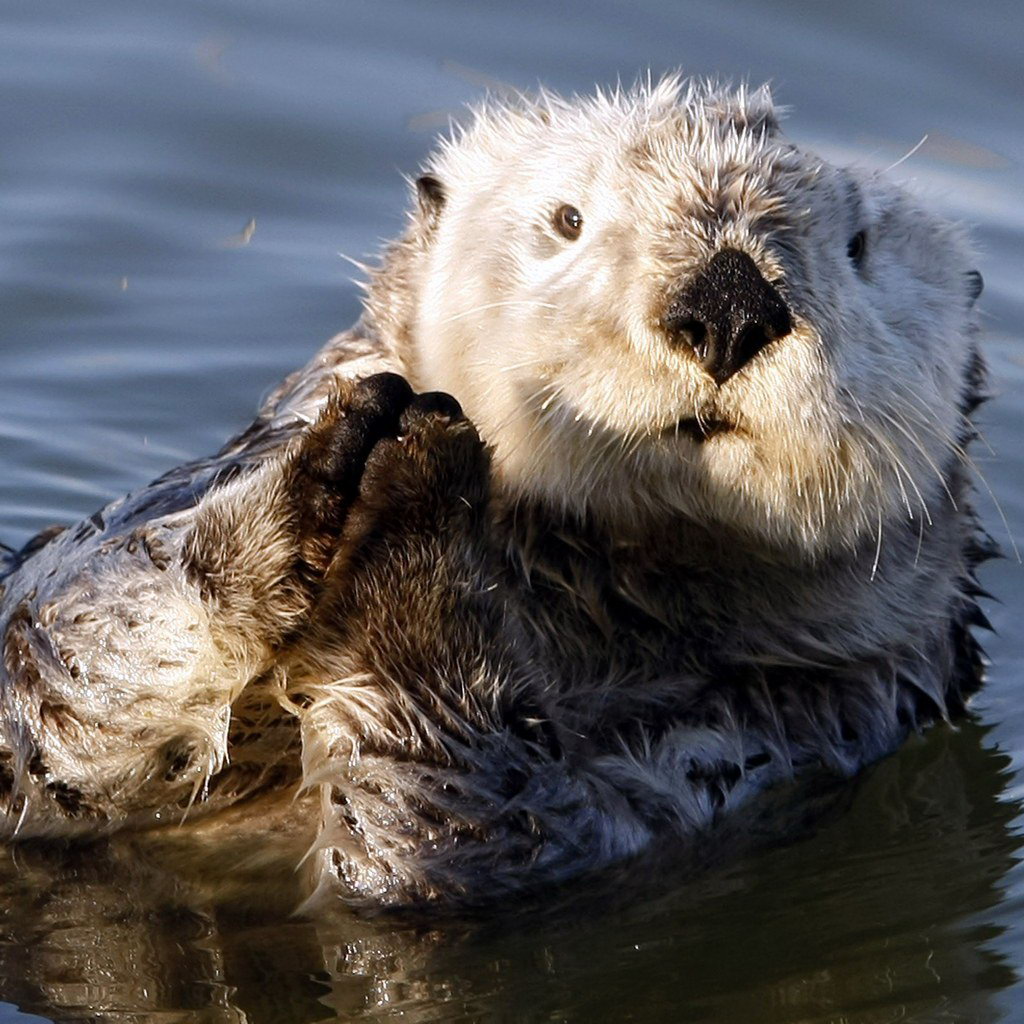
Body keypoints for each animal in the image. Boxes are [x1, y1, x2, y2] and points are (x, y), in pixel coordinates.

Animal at [0, 81, 991, 913]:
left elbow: (468, 831)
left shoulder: (759, 738)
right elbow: (55, 669)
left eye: (859, 248)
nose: (728, 301)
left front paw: (419, 496)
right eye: (567, 218)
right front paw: (325, 465)